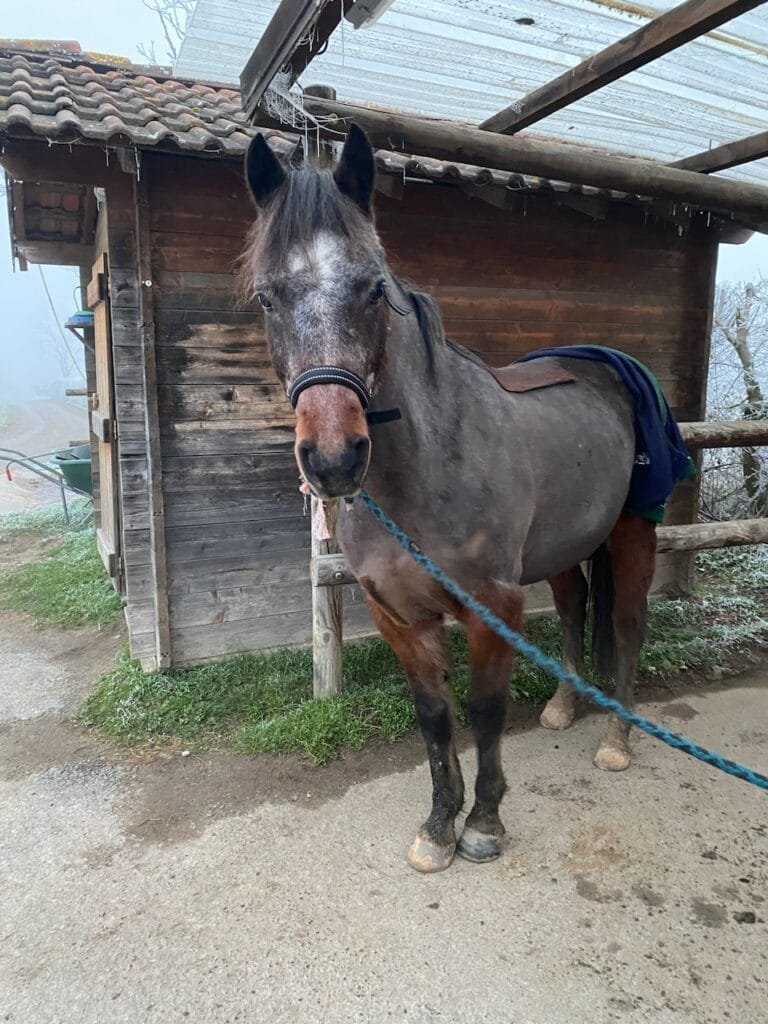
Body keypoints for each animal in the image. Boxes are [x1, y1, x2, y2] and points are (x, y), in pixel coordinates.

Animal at [240, 125, 659, 873]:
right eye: (267, 298)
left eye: (373, 289)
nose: (334, 459)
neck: (426, 471)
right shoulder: (399, 616)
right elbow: (434, 717)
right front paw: (439, 825)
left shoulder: (493, 607)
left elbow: (486, 711)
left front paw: (484, 824)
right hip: (563, 548)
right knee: (576, 606)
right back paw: (564, 705)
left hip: (634, 532)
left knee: (628, 624)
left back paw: (616, 738)